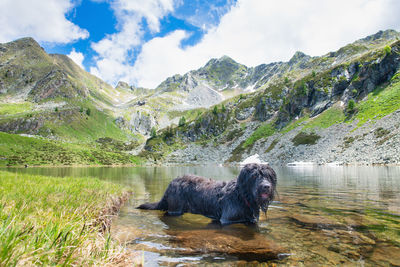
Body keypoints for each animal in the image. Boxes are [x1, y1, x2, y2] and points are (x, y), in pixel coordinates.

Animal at [137, 164, 276, 225]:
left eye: (269, 176)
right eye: (254, 176)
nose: (266, 186)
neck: (242, 197)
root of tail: (171, 183)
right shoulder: (227, 220)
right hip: (175, 209)